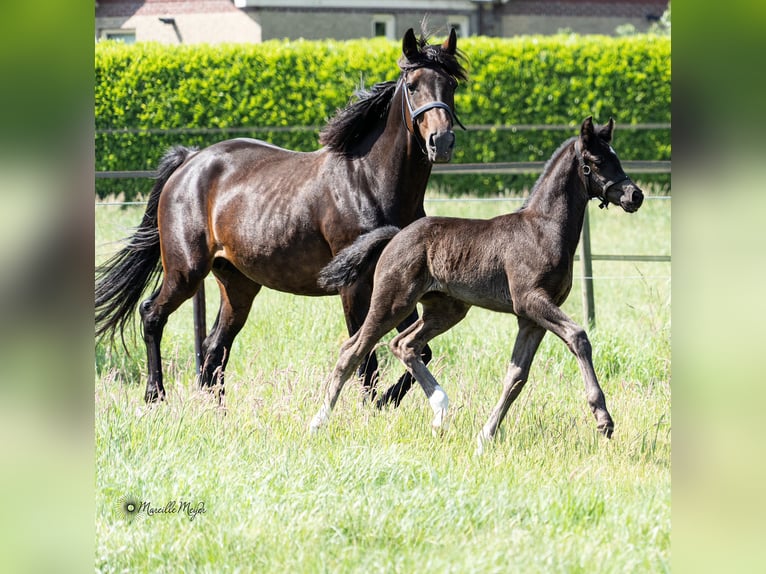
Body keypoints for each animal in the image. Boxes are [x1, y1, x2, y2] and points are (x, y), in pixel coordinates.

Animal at [96, 28, 468, 404]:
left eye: (451, 84)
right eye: (413, 85)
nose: (441, 141)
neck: (369, 180)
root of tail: (190, 160)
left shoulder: (401, 283)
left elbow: (418, 350)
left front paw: (385, 400)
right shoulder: (355, 286)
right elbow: (366, 357)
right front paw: (373, 404)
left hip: (237, 283)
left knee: (214, 347)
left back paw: (215, 410)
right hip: (185, 270)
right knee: (152, 315)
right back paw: (154, 396)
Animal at [316, 116, 644, 450]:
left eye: (616, 157)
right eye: (597, 161)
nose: (635, 196)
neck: (543, 229)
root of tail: (395, 234)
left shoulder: (531, 319)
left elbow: (516, 376)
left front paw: (486, 435)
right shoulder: (531, 300)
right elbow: (578, 337)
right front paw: (603, 418)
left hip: (446, 309)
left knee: (405, 344)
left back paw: (440, 412)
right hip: (392, 301)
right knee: (353, 350)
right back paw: (318, 422)